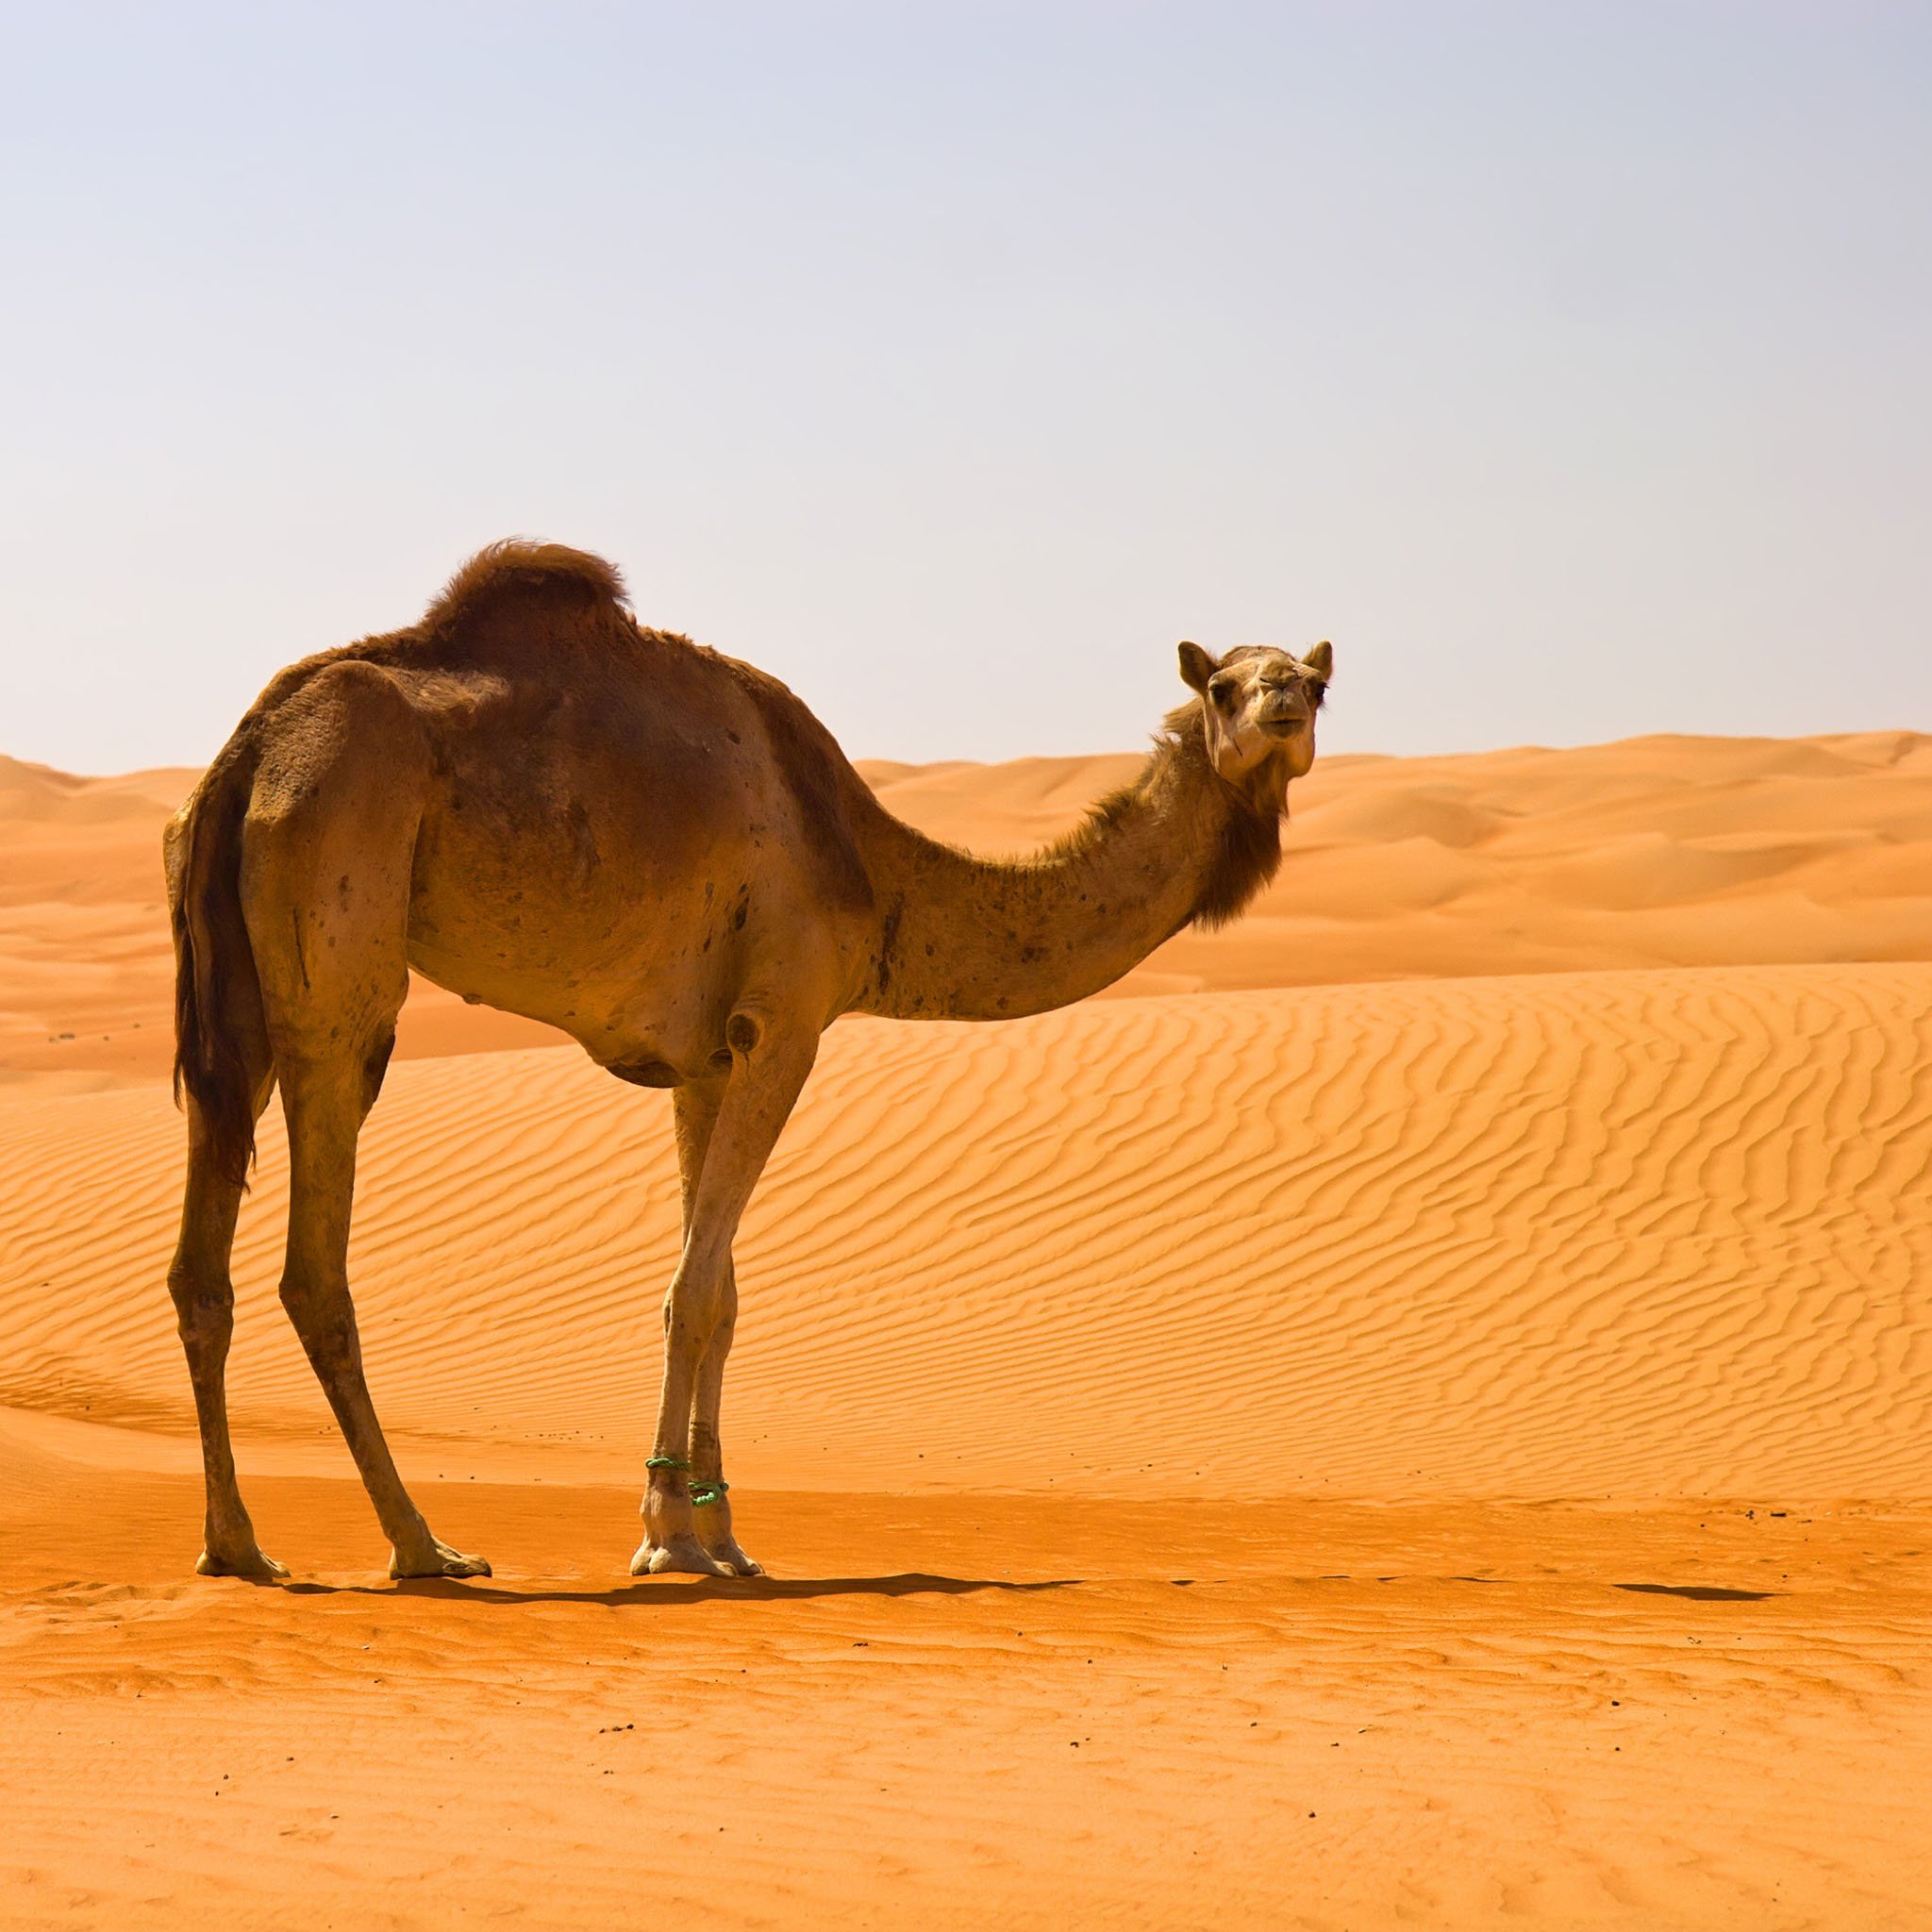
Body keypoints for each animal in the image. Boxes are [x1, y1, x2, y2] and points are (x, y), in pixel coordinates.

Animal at [166, 544, 1329, 1584]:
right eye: (1222, 683)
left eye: (1316, 680)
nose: (1281, 704)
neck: (874, 870)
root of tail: (251, 748)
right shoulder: (785, 1022)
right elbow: (690, 1288)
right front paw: (664, 1537)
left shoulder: (703, 1060)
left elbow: (720, 1290)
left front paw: (717, 1531)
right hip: (340, 931)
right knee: (315, 1264)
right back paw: (423, 1545)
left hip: (235, 993)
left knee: (200, 1263)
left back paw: (238, 1544)